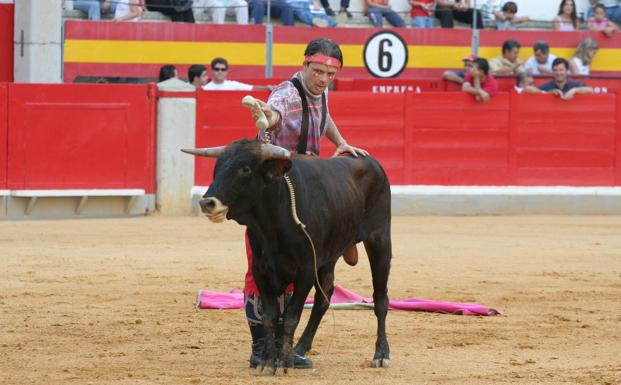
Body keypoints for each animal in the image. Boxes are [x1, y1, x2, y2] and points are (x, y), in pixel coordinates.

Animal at [182, 140, 390, 374]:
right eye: (217, 169)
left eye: (245, 169)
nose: (207, 203)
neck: (272, 219)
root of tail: (371, 162)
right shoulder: (261, 269)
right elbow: (270, 315)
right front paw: (267, 361)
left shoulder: (306, 268)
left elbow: (291, 315)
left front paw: (283, 362)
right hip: (328, 256)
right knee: (323, 299)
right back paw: (299, 349)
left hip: (380, 240)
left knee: (380, 298)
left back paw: (381, 354)